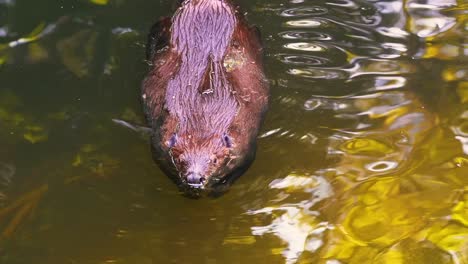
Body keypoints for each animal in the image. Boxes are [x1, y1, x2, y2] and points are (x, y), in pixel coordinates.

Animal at [141, 0, 268, 194]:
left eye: (214, 160)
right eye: (181, 160)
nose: (194, 179)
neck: (201, 116)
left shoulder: (245, 137)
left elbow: (246, 161)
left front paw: (219, 188)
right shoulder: (160, 136)